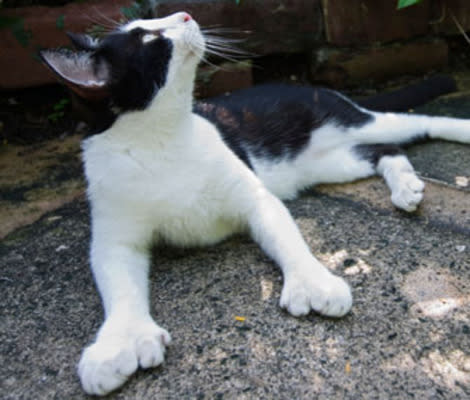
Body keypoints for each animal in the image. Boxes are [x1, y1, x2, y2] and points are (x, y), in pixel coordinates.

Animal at [41, 10, 470, 396]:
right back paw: (405, 187)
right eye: (148, 38)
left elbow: (288, 239)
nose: (185, 14)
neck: (158, 140)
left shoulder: (255, 198)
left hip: (350, 123)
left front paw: (313, 282)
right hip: (328, 162)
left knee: (413, 124)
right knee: (384, 150)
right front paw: (119, 342)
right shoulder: (115, 231)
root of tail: (313, 87)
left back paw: (451, 139)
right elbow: (119, 282)